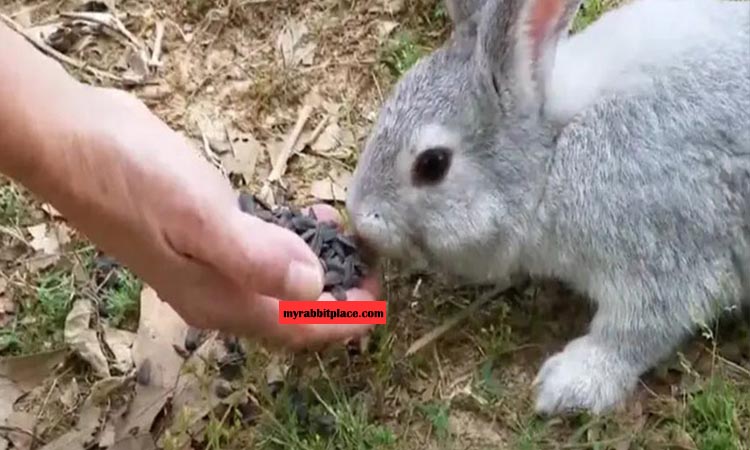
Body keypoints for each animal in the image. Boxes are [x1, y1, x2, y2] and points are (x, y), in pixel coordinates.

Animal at [346, 0, 750, 414]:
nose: (360, 217)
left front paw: (569, 384)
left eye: (433, 164)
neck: (552, 156)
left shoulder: (661, 253)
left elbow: (634, 331)